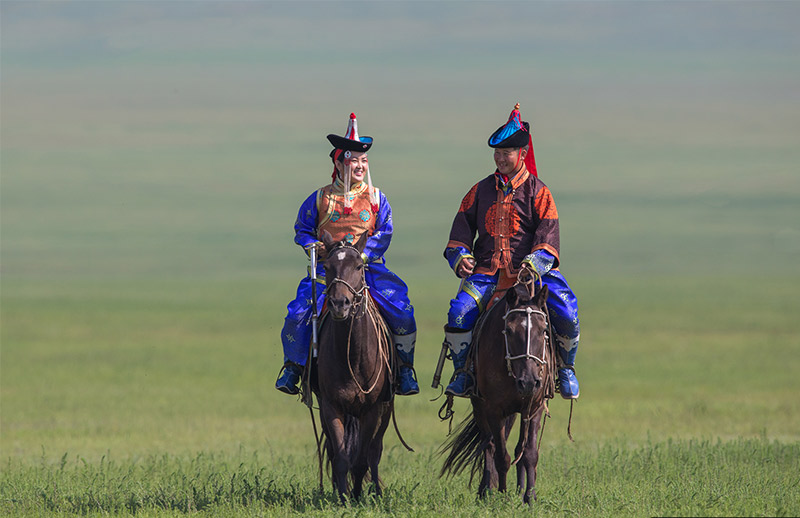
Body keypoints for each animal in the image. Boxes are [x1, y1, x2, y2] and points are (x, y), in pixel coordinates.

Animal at [312, 229, 395, 503]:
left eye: (359, 266)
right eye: (327, 267)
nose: (341, 303)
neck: (353, 358)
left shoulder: (372, 409)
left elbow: (361, 461)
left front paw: (357, 498)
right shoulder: (331, 406)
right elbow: (340, 458)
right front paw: (343, 498)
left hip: (386, 409)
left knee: (375, 451)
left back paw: (377, 492)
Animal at [439, 270, 555, 504]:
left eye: (543, 330)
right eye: (508, 330)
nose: (529, 381)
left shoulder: (535, 406)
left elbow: (529, 453)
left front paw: (529, 498)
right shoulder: (493, 409)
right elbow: (501, 455)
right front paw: (502, 495)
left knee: (517, 449)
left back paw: (518, 490)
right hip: (480, 406)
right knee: (488, 445)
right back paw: (486, 491)